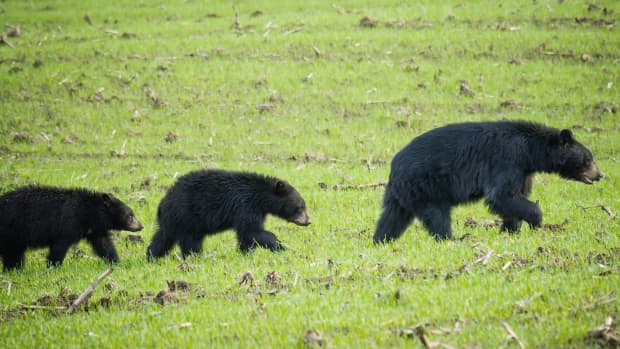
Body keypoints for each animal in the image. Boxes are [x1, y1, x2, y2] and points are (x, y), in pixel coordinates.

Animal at [0, 186, 143, 270]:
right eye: (130, 215)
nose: (141, 226)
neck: (89, 213)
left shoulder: (95, 230)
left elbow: (104, 245)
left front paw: (117, 262)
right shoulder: (69, 223)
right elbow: (59, 246)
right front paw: (53, 267)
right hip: (12, 229)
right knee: (12, 253)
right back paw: (14, 269)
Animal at [146, 169, 310, 258]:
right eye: (300, 207)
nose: (308, 221)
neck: (259, 198)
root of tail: (163, 203)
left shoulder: (256, 210)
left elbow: (248, 235)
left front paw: (245, 252)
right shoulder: (245, 205)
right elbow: (251, 231)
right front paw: (281, 246)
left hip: (177, 221)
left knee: (163, 238)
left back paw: (151, 255)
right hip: (186, 216)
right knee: (189, 242)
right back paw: (194, 257)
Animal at [372, 120, 600, 242]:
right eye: (588, 159)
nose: (599, 175)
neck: (529, 152)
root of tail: (394, 167)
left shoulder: (523, 171)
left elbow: (514, 198)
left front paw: (510, 230)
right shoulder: (507, 160)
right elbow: (501, 195)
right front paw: (536, 222)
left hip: (402, 194)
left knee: (392, 217)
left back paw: (381, 240)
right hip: (427, 187)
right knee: (437, 216)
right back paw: (454, 239)